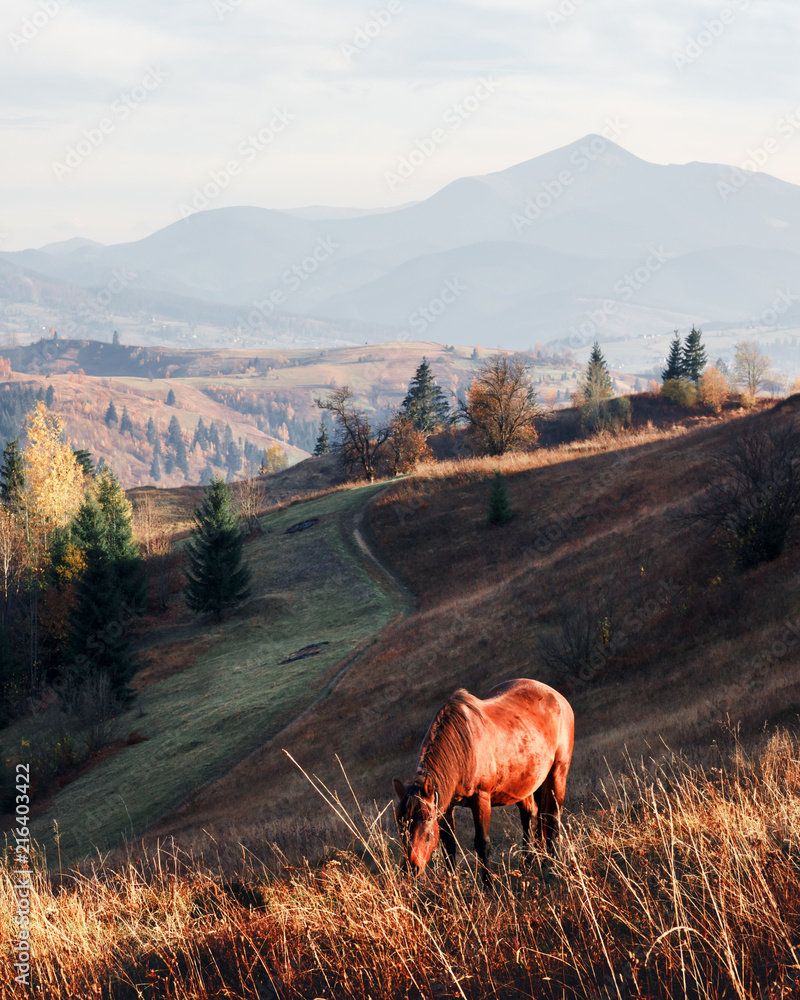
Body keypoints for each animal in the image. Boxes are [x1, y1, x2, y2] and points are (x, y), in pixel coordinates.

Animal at [392, 676, 568, 880]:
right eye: (399, 821)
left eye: (427, 818)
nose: (410, 868)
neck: (464, 748)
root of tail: (555, 695)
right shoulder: (446, 806)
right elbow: (448, 846)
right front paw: (453, 883)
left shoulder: (481, 798)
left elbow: (482, 842)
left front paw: (488, 883)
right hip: (526, 784)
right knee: (531, 815)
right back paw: (529, 863)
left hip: (558, 772)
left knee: (552, 817)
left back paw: (551, 864)